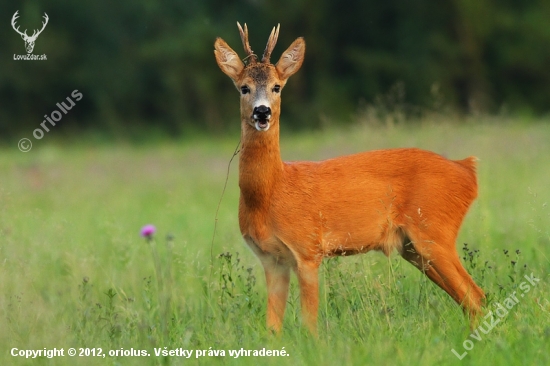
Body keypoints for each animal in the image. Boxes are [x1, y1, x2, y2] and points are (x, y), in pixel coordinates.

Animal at [213, 22, 486, 334]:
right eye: (244, 88)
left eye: (277, 86)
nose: (262, 111)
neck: (271, 192)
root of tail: (467, 170)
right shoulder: (271, 259)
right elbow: (272, 329)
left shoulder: (308, 249)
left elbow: (310, 323)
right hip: (414, 247)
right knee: (469, 299)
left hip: (435, 231)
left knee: (476, 295)